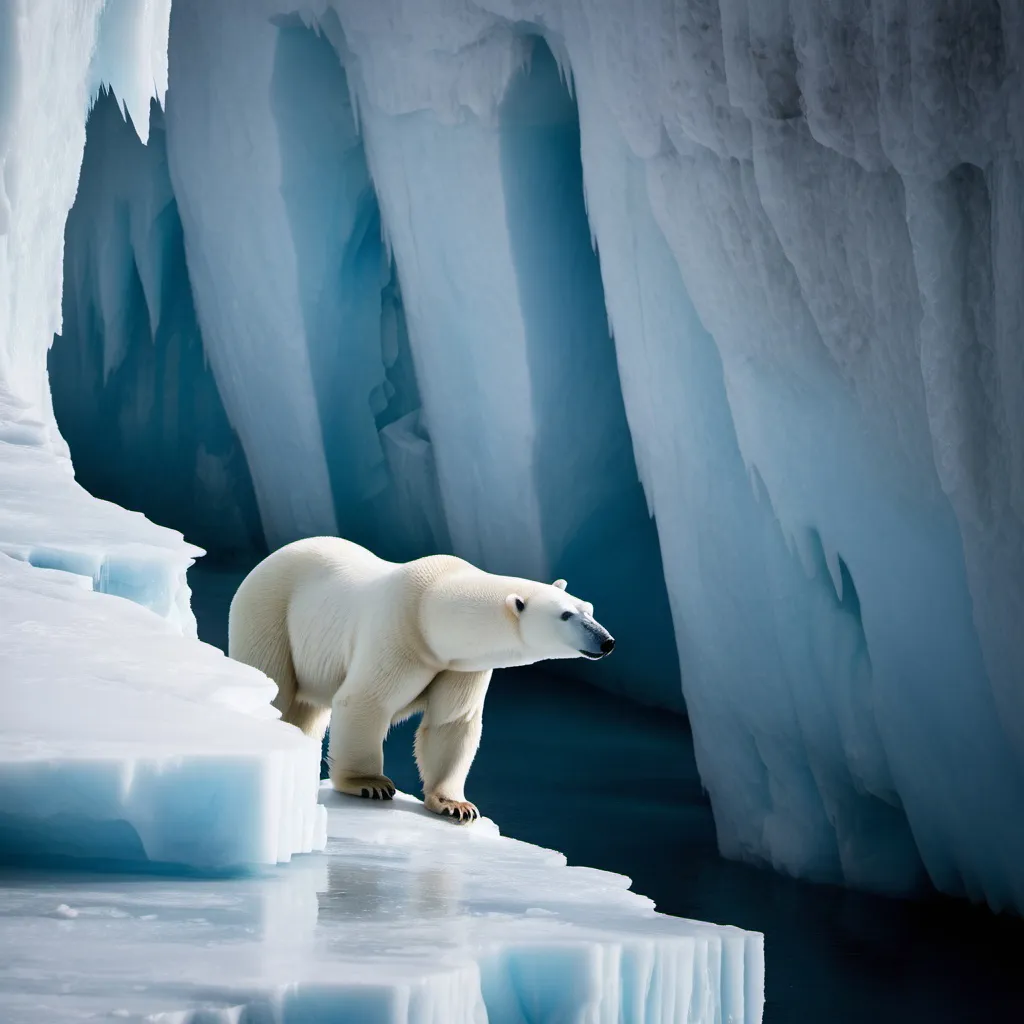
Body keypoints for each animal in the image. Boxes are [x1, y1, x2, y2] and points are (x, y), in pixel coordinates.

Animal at [230, 536, 614, 823]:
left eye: (589, 609)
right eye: (565, 615)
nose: (606, 641)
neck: (429, 608)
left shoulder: (459, 665)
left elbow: (452, 721)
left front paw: (456, 805)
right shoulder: (398, 637)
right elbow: (365, 701)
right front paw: (369, 783)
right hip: (271, 612)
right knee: (273, 683)